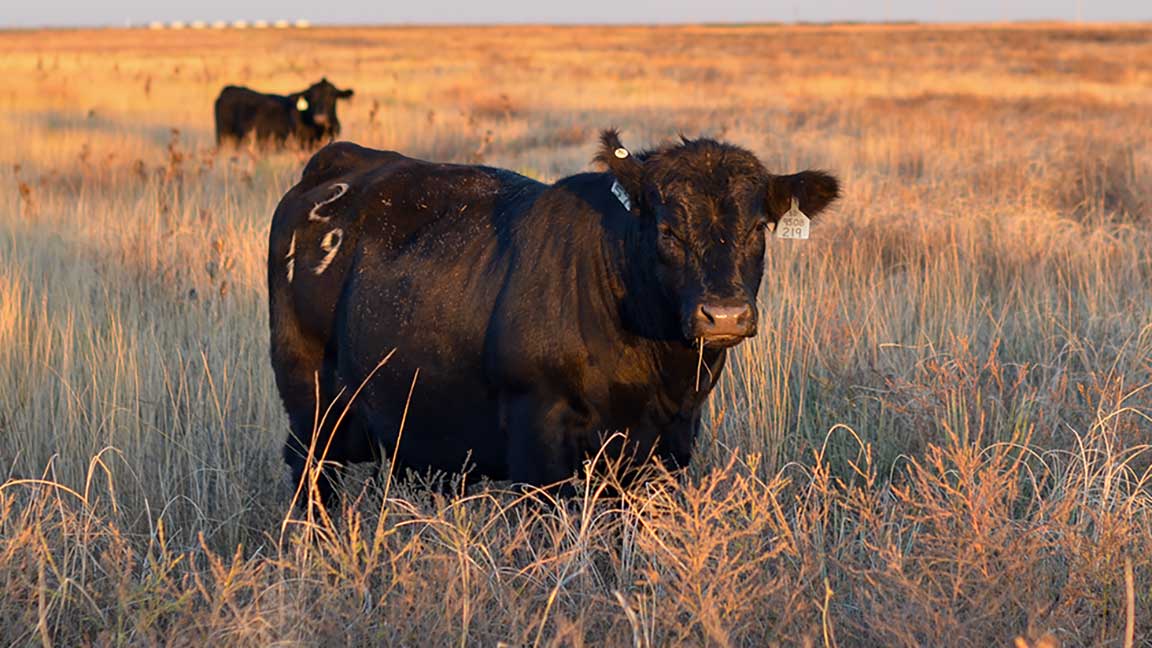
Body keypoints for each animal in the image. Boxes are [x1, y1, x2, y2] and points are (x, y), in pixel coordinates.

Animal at [270, 127, 847, 500]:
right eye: (667, 230)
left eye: (757, 229)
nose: (723, 315)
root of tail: (339, 164)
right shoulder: (538, 441)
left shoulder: (667, 444)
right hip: (311, 404)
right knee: (310, 478)